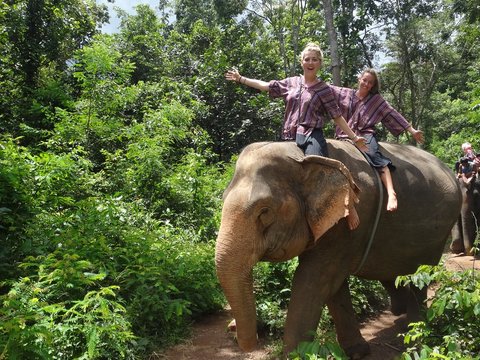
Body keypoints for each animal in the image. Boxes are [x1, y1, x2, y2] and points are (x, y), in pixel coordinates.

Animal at [216, 139, 464, 358]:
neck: (303, 157)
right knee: (392, 271)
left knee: (420, 275)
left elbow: (315, 281)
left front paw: (296, 355)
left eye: (264, 211)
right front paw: (357, 352)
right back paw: (400, 315)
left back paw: (416, 327)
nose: (231, 327)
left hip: (438, 235)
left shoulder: (349, 220)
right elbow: (333, 288)